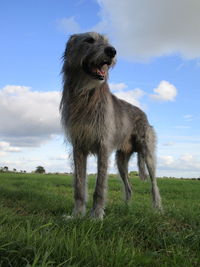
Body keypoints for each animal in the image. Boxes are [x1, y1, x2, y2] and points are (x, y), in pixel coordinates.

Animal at [60, 31, 162, 220]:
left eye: (107, 42)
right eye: (89, 40)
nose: (112, 51)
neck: (86, 95)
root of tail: (143, 113)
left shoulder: (103, 146)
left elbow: (100, 186)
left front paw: (96, 216)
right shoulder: (78, 147)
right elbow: (79, 185)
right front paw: (77, 214)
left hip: (147, 152)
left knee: (154, 183)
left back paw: (157, 208)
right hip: (121, 160)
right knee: (129, 186)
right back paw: (126, 208)